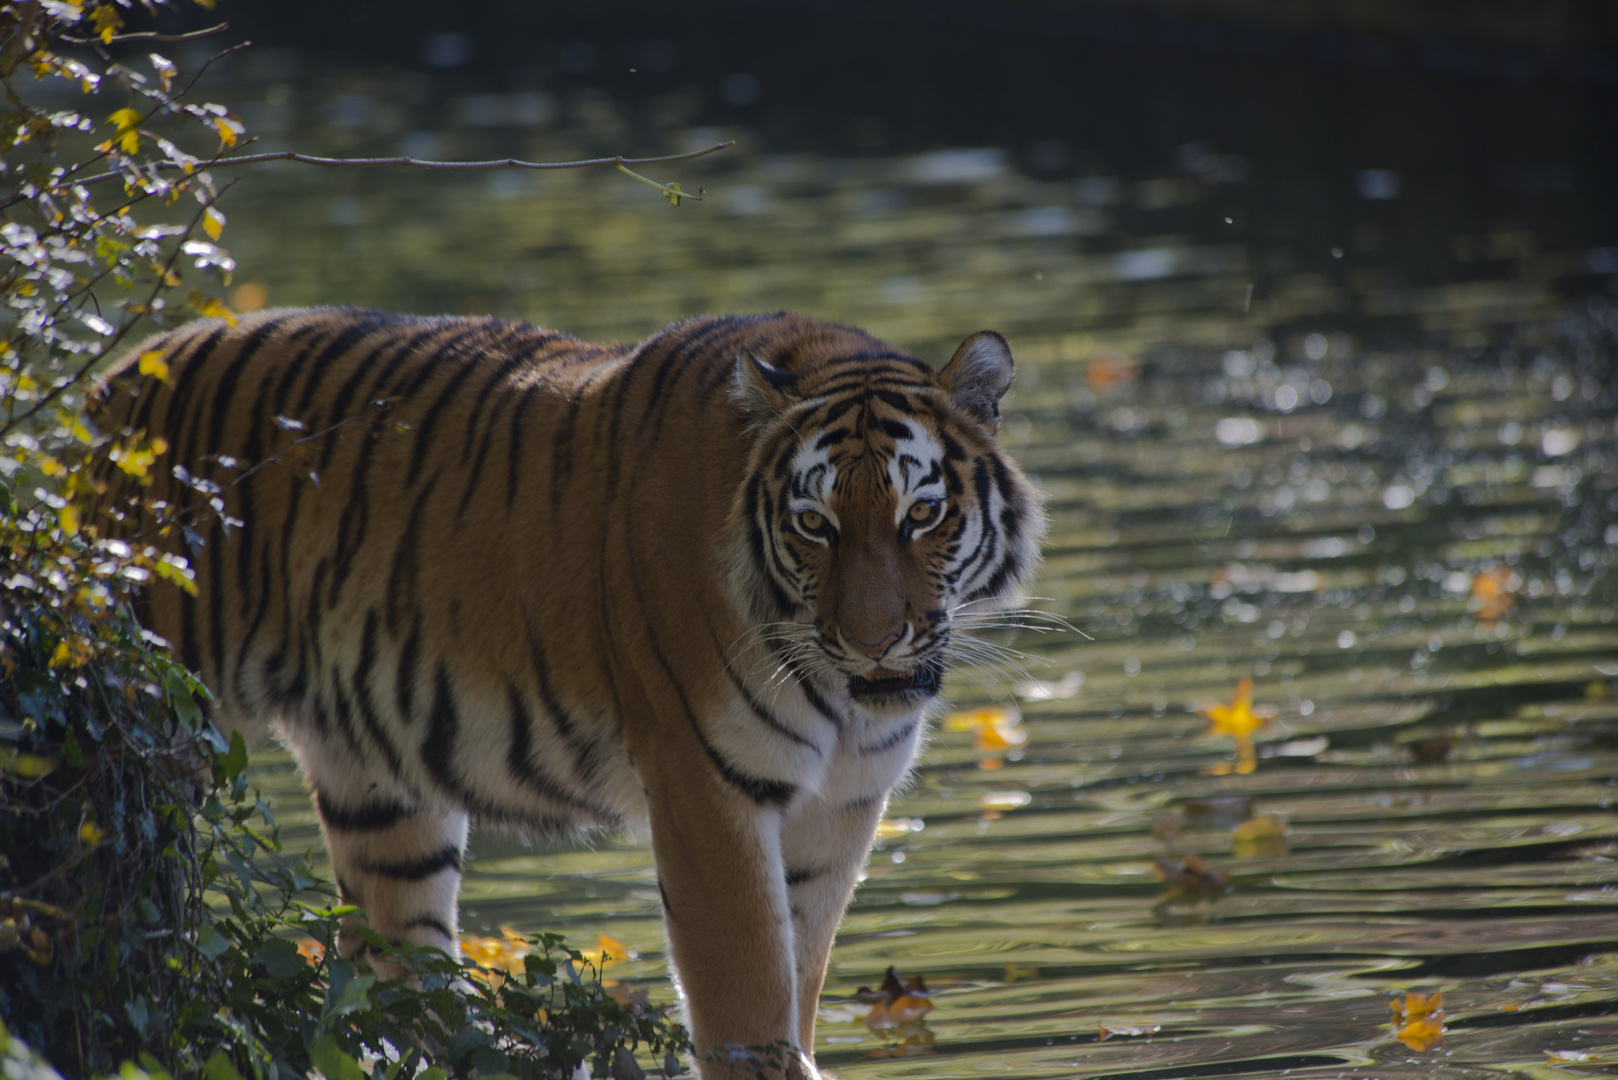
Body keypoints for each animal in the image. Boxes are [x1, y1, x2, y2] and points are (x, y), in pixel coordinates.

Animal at [94, 307, 1041, 1075]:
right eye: (816, 525)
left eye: (922, 515)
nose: (873, 641)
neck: (844, 704)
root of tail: (108, 386)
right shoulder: (707, 788)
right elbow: (748, 995)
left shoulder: (842, 804)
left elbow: (799, 973)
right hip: (154, 724)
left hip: (381, 796)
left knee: (392, 969)